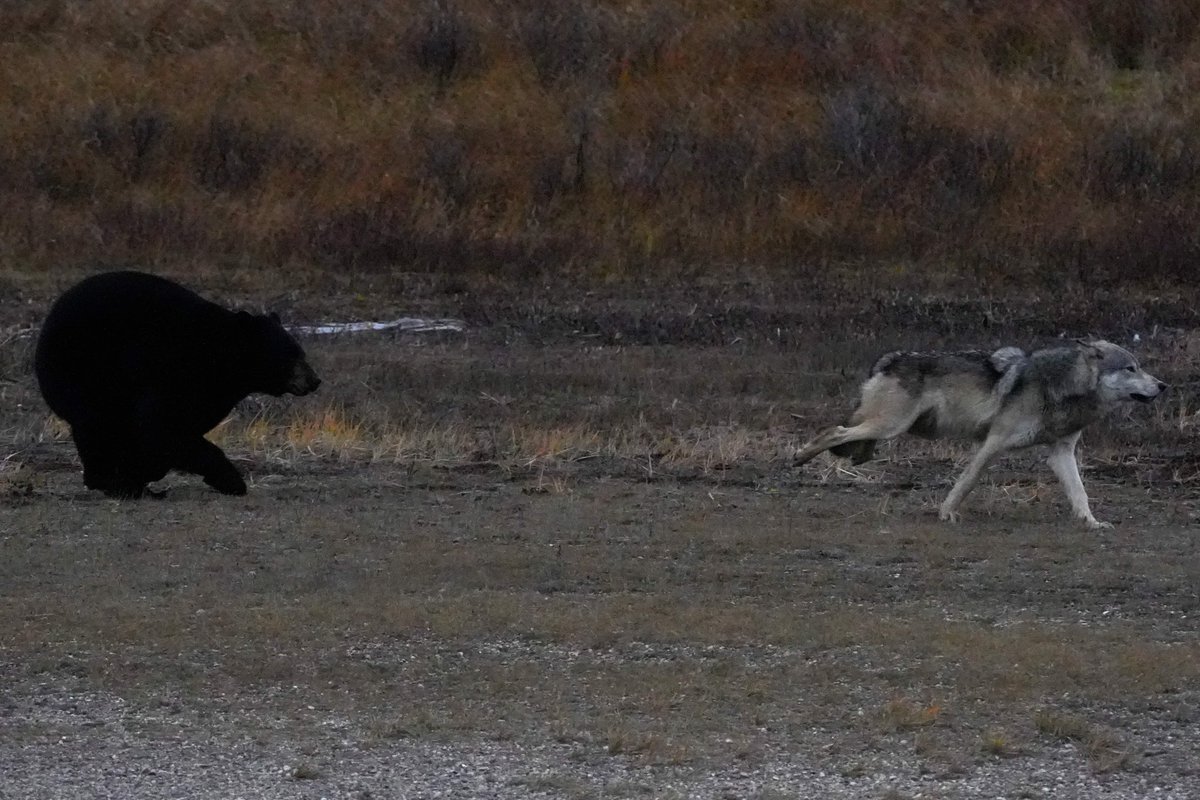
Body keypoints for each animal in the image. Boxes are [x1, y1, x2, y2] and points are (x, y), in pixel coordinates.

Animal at [35, 270, 321, 497]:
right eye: (291, 355)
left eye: (300, 352)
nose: (315, 380)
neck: (221, 358)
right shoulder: (173, 372)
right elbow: (160, 425)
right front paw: (231, 480)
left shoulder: (211, 392)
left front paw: (143, 470)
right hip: (83, 371)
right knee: (94, 423)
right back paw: (112, 482)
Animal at [794, 340, 1166, 528]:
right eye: (1131, 368)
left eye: (1141, 367)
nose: (1163, 386)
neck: (1062, 387)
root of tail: (889, 359)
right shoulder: (993, 444)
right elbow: (966, 482)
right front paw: (946, 514)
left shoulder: (1061, 453)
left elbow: (1080, 493)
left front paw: (1091, 522)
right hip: (889, 427)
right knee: (834, 430)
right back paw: (799, 456)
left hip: (884, 433)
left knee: (851, 440)